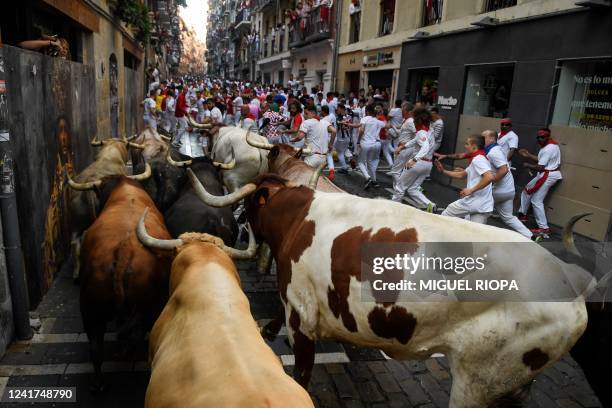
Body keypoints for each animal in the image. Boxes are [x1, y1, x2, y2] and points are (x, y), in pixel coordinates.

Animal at [190, 172, 596, 408]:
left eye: (248, 203)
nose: (239, 223)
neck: (296, 219)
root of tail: (569, 276)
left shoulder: (302, 315)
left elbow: (302, 374)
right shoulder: (297, 301)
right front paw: (268, 328)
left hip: (479, 381)